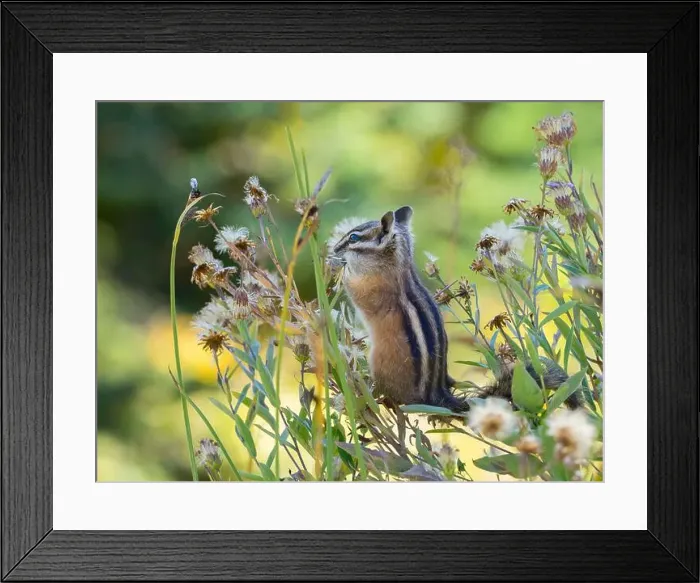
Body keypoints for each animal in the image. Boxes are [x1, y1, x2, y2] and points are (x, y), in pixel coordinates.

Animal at [332, 207, 584, 414]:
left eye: (353, 238)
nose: (334, 248)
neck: (398, 264)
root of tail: (435, 396)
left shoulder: (373, 287)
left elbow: (356, 291)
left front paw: (342, 271)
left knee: (385, 393)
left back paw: (367, 387)